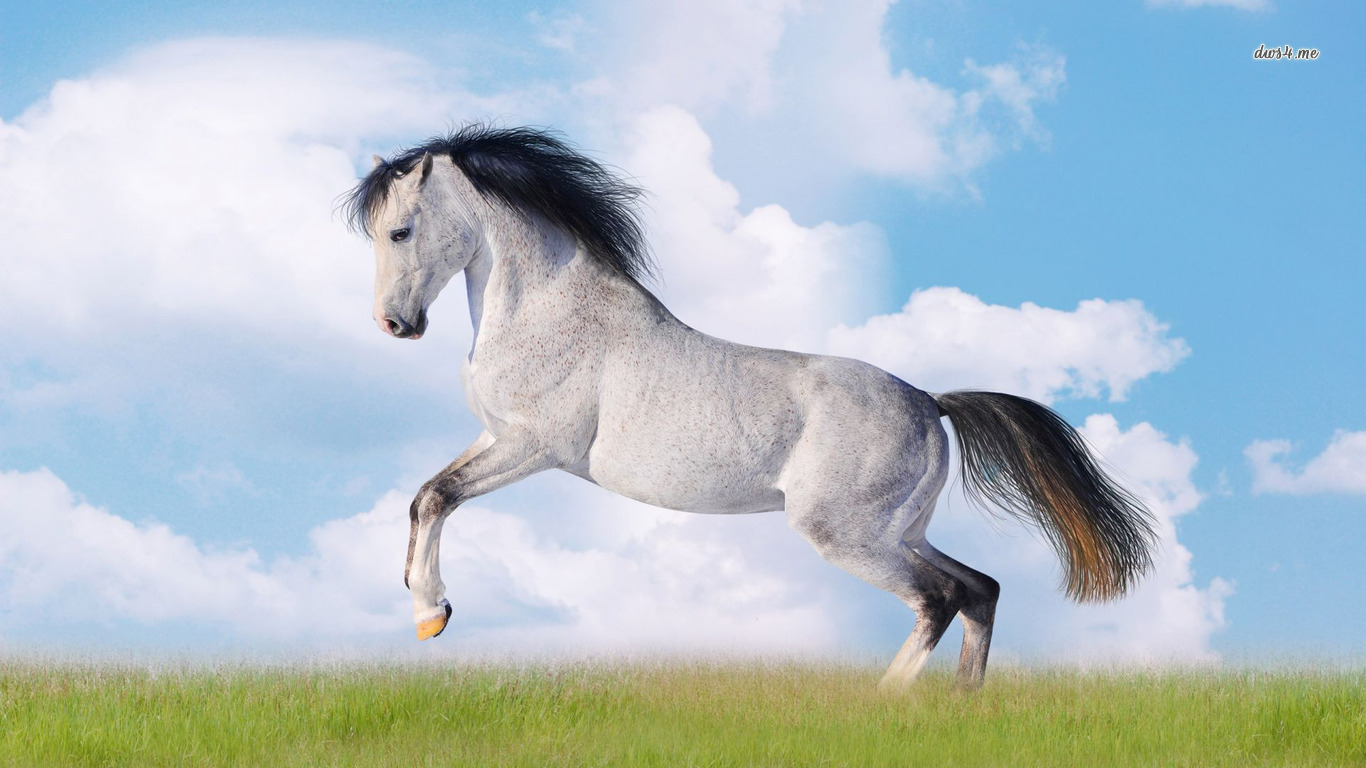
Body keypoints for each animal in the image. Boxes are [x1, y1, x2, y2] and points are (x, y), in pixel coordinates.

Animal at [342, 125, 1156, 690]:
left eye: (401, 230)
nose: (394, 324)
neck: (549, 311)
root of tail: (930, 403)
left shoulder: (535, 447)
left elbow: (439, 496)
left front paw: (431, 614)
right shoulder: (496, 439)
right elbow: (424, 496)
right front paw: (427, 612)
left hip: (846, 534)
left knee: (940, 598)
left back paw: (885, 706)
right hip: (900, 529)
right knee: (980, 588)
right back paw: (962, 706)